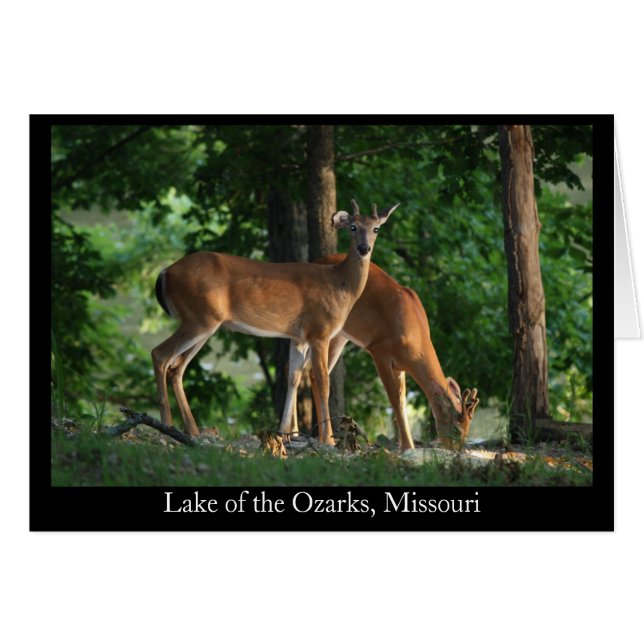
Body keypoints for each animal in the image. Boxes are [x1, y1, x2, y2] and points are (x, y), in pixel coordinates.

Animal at [151, 199, 398, 446]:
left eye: (376, 229)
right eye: (353, 227)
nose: (364, 248)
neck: (340, 285)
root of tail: (165, 272)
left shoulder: (299, 337)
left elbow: (293, 378)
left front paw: (283, 434)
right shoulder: (319, 331)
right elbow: (323, 382)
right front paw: (327, 440)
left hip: (204, 324)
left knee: (176, 368)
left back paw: (192, 430)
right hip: (199, 318)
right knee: (160, 354)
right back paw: (166, 425)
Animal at [292, 255, 480, 450]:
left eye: (468, 430)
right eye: (457, 429)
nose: (455, 450)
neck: (416, 336)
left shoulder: (400, 366)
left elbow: (403, 400)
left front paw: (406, 444)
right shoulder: (379, 349)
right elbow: (394, 398)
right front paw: (408, 446)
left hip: (340, 335)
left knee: (312, 374)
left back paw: (318, 436)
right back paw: (311, 436)